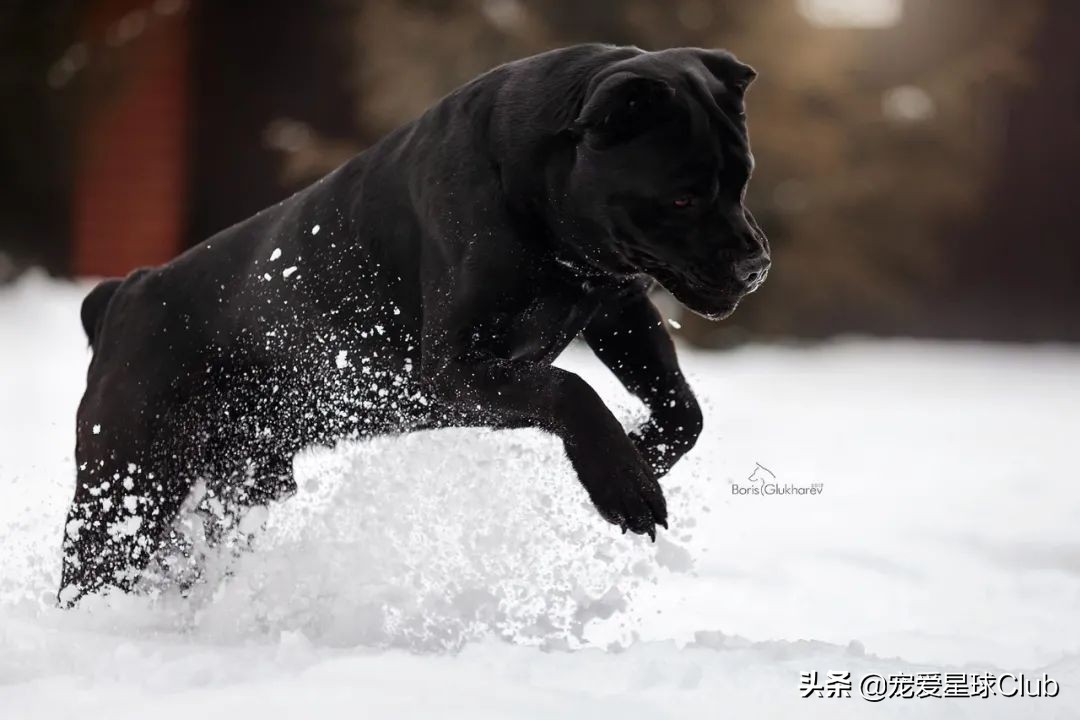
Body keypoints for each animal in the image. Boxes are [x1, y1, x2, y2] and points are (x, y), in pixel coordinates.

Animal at [59, 45, 768, 604]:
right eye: (683, 196)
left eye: (741, 181)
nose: (756, 264)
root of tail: (127, 290)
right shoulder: (454, 368)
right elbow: (570, 388)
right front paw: (623, 484)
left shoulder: (618, 309)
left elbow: (682, 409)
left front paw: (643, 454)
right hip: (130, 481)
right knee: (89, 568)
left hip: (236, 485)